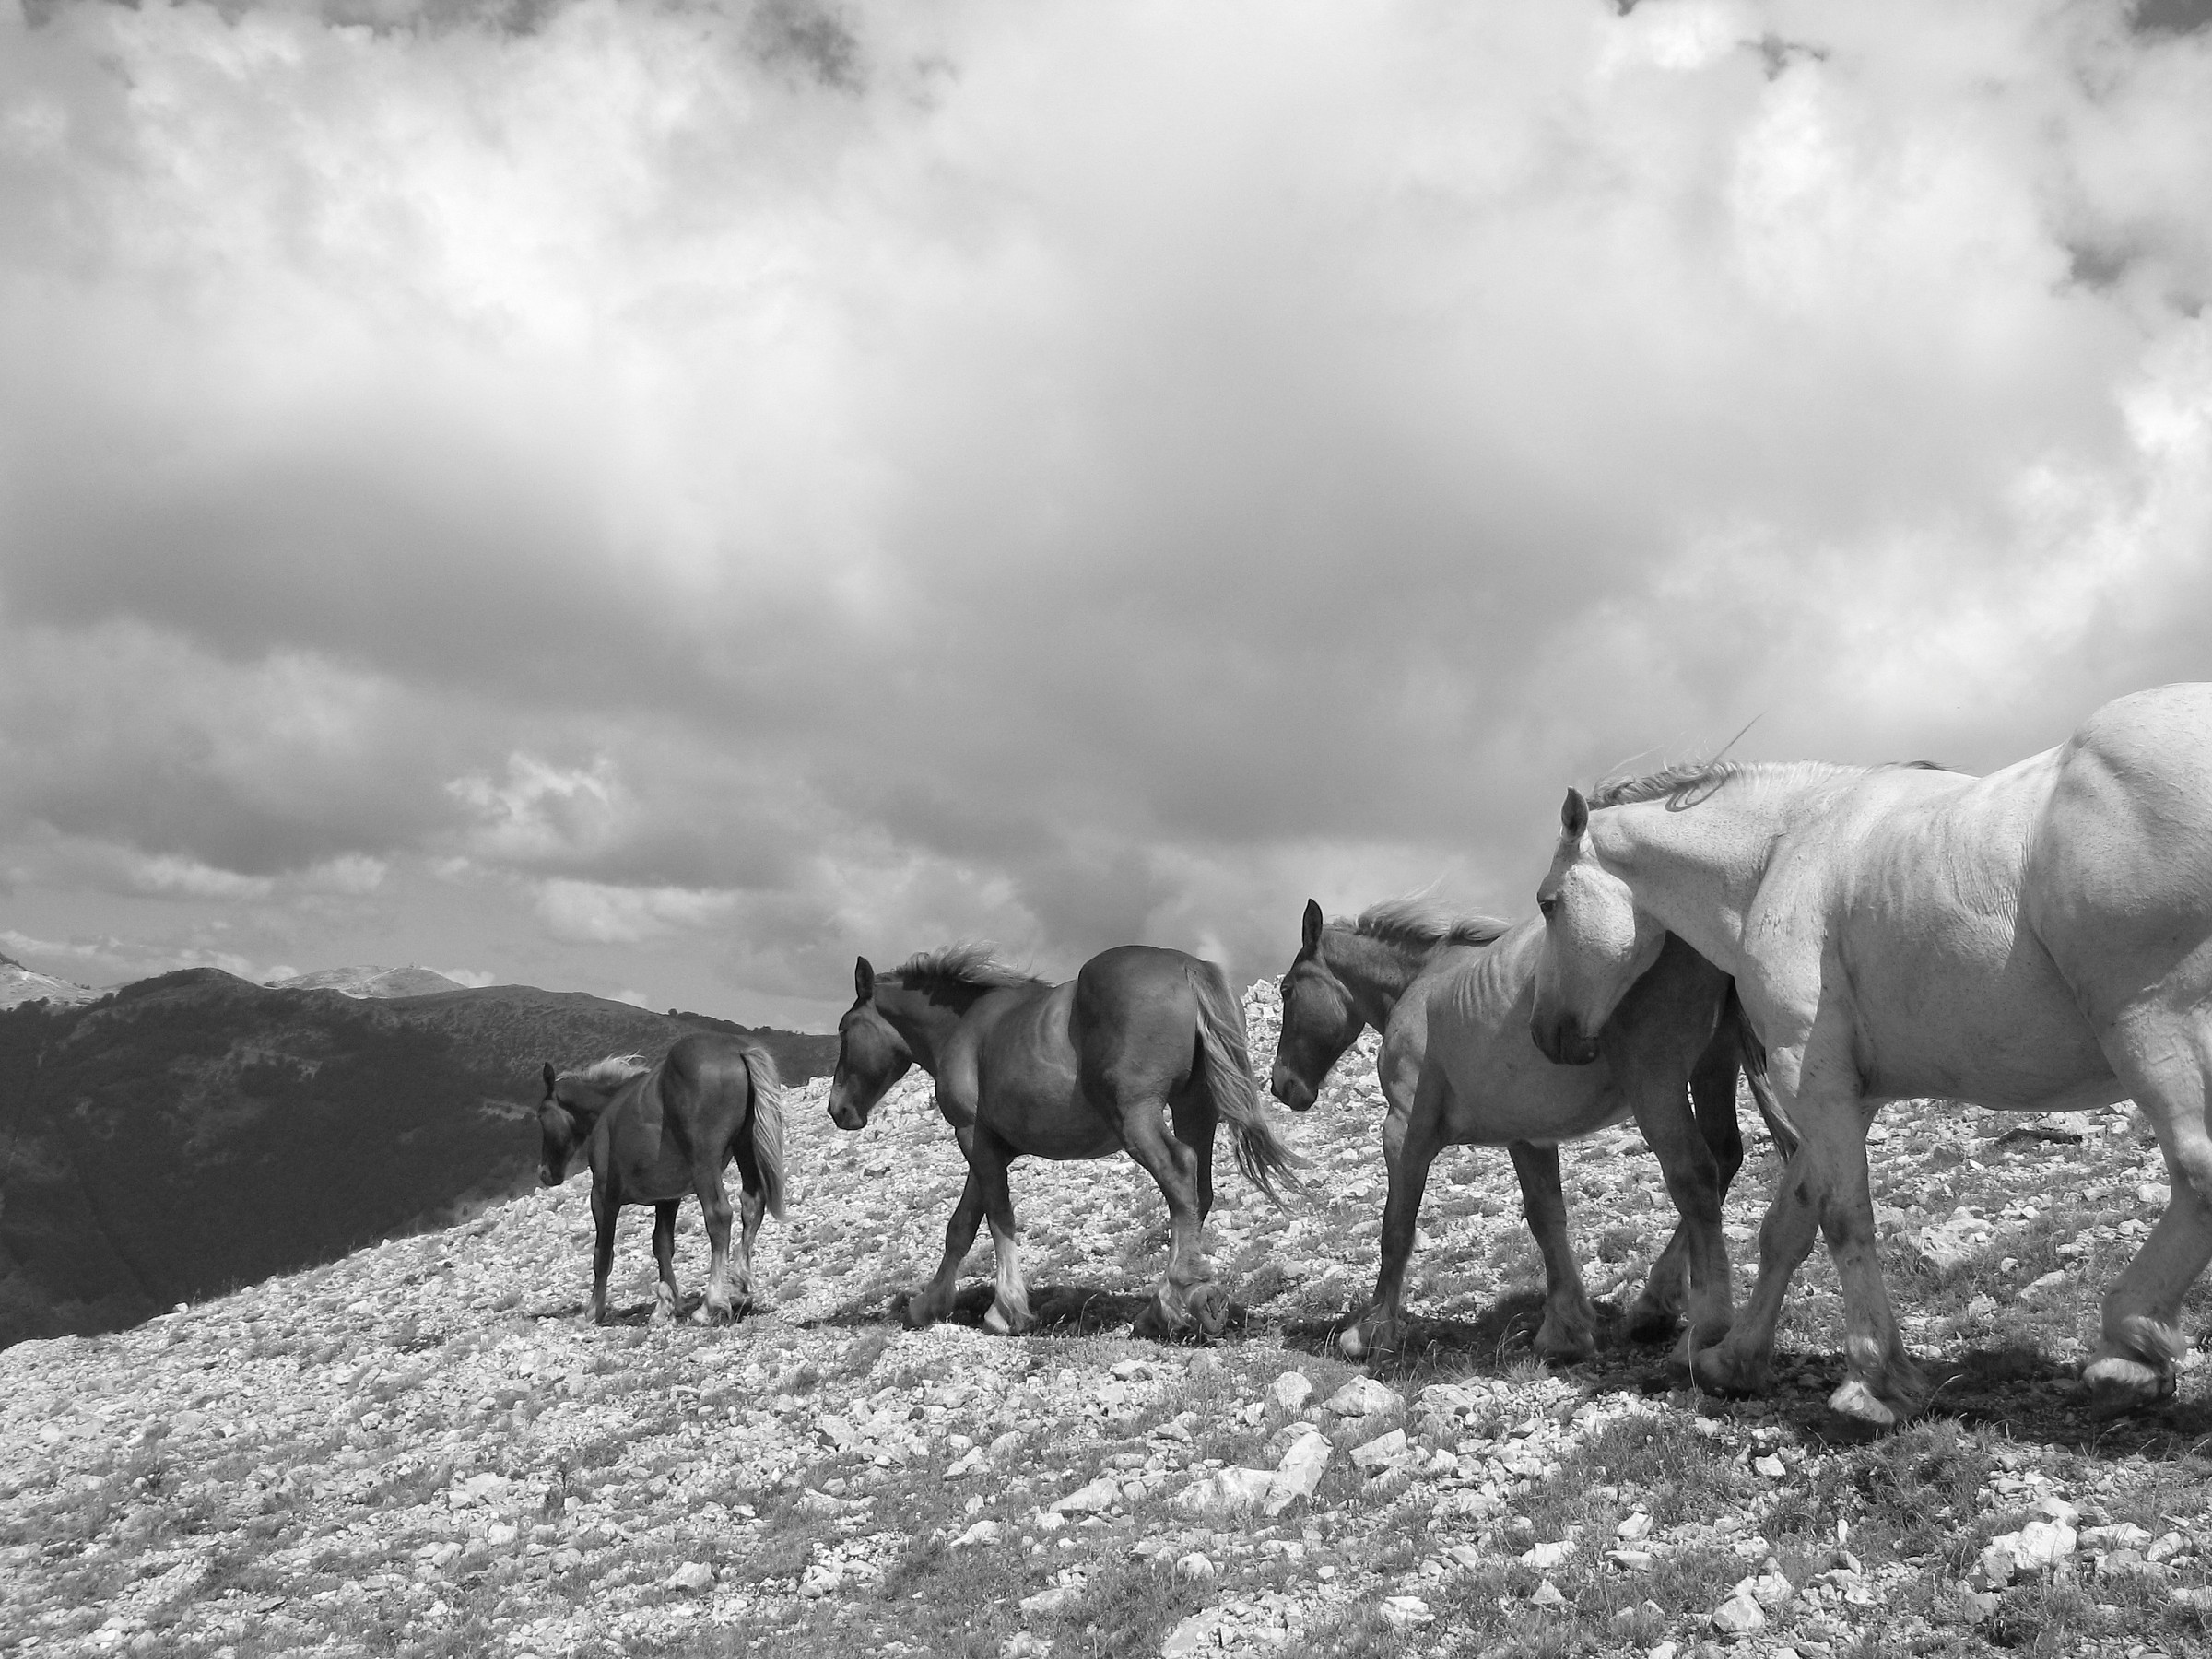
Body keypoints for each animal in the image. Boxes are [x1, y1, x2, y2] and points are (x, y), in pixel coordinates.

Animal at [538, 1032, 786, 1325]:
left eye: (541, 1116)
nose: (544, 1172)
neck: (608, 1109)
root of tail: (736, 1051)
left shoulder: (603, 1197)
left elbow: (603, 1253)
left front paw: (592, 1311)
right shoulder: (668, 1198)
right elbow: (662, 1244)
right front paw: (665, 1305)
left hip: (705, 1165)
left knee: (719, 1216)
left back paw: (710, 1305)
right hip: (745, 1148)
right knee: (751, 1204)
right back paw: (739, 1289)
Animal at [828, 943, 1301, 1339]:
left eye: (845, 1030)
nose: (838, 1109)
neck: (965, 1027)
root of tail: (1189, 966)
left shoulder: (972, 1136)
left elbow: (998, 1218)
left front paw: (1006, 1310)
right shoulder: (991, 1146)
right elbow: (961, 1226)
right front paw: (929, 1304)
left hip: (1138, 1118)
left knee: (1180, 1176)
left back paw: (1177, 1300)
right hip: (1195, 1110)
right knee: (1199, 1191)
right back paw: (1170, 1304)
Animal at [1272, 895, 1785, 1362]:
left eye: (1287, 991)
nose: (1281, 1085)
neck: (1423, 983)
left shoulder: (1403, 1133)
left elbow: (1396, 1228)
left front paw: (1371, 1330)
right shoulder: (1526, 1136)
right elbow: (1546, 1219)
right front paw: (1566, 1329)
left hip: (1657, 1084)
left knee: (1694, 1178)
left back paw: (1701, 1330)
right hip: (1713, 1066)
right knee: (1723, 1160)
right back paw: (1652, 1309)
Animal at [1529, 682, 2212, 1425]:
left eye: (1547, 904)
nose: (1545, 1033)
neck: (1779, 850)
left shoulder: (1811, 1077)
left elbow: (1842, 1219)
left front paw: (1870, 1382)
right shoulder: (1844, 1094)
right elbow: (1788, 1225)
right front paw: (1735, 1361)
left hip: (2153, 1026)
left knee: (2198, 1172)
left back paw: (2127, 1350)